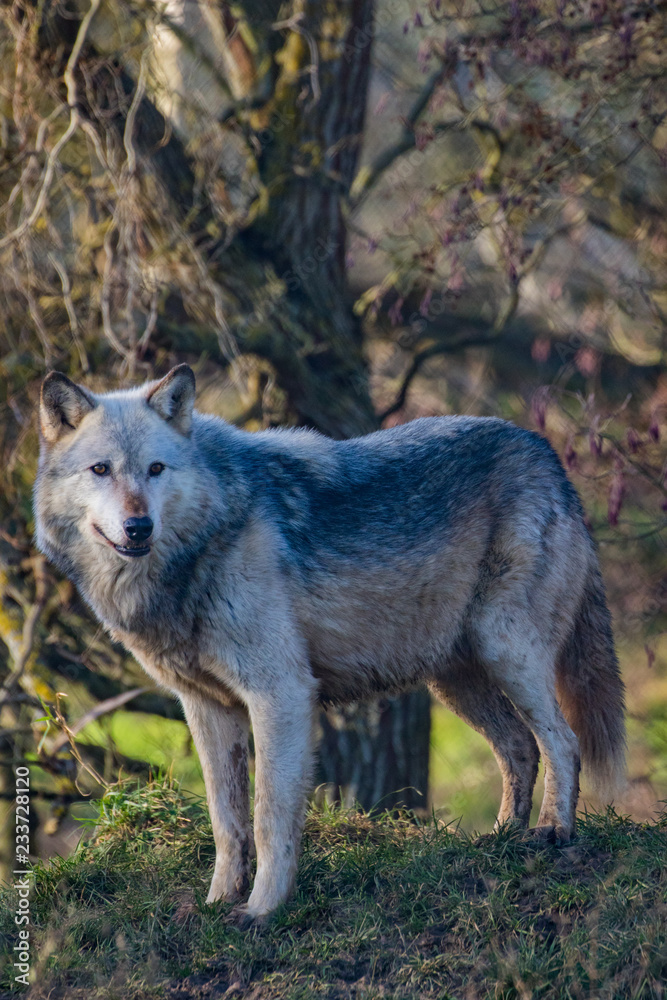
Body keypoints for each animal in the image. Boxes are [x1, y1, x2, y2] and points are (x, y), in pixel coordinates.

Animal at [34, 364, 626, 923]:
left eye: (156, 469)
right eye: (101, 470)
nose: (138, 526)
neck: (206, 540)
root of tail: (548, 456)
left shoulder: (281, 694)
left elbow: (268, 816)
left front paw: (262, 912)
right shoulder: (205, 707)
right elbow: (226, 821)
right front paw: (216, 904)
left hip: (506, 653)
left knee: (563, 741)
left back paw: (553, 832)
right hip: (456, 681)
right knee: (520, 746)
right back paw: (502, 838)